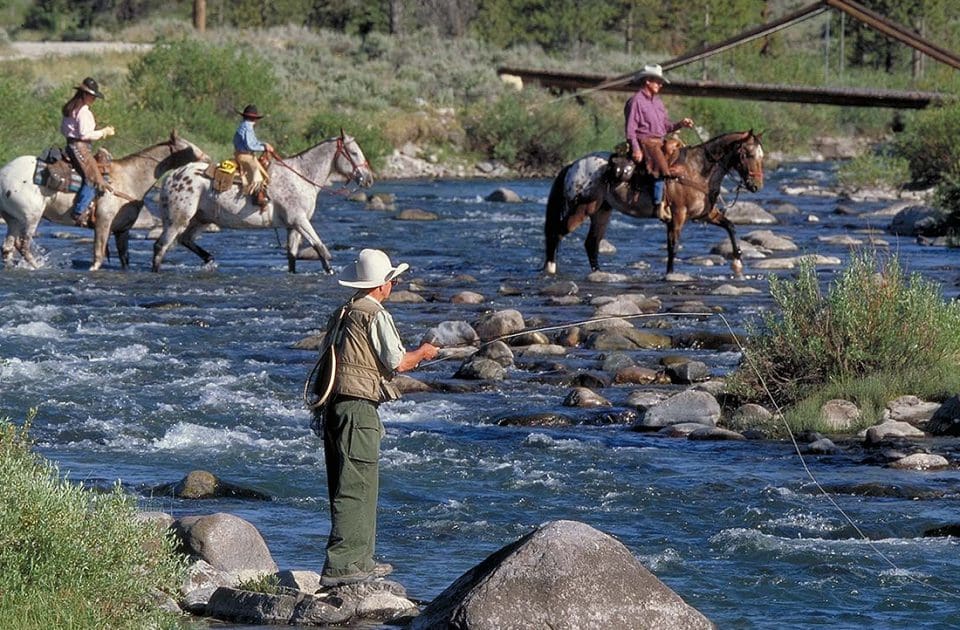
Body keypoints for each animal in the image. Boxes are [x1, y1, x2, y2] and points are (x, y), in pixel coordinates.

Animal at [0, 131, 210, 272]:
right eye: (189, 146)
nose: (208, 159)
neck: (131, 177)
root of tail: (4, 173)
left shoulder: (122, 230)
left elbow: (124, 258)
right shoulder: (103, 221)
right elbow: (99, 254)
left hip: (13, 219)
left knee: (8, 247)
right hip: (31, 216)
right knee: (22, 244)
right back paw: (37, 267)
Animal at [152, 132, 374, 272]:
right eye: (354, 152)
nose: (369, 178)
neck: (301, 176)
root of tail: (172, 177)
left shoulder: (292, 226)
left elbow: (292, 257)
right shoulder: (300, 220)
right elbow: (321, 248)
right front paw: (330, 272)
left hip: (201, 219)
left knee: (185, 239)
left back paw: (209, 258)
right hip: (177, 219)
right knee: (160, 246)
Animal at [548, 130, 764, 278]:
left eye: (761, 156)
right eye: (748, 154)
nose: (756, 186)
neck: (696, 170)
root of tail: (573, 165)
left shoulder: (705, 214)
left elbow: (730, 226)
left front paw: (737, 263)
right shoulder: (678, 215)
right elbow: (673, 247)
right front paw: (670, 274)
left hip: (602, 211)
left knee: (591, 243)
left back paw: (599, 273)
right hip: (582, 208)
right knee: (557, 232)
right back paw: (550, 269)